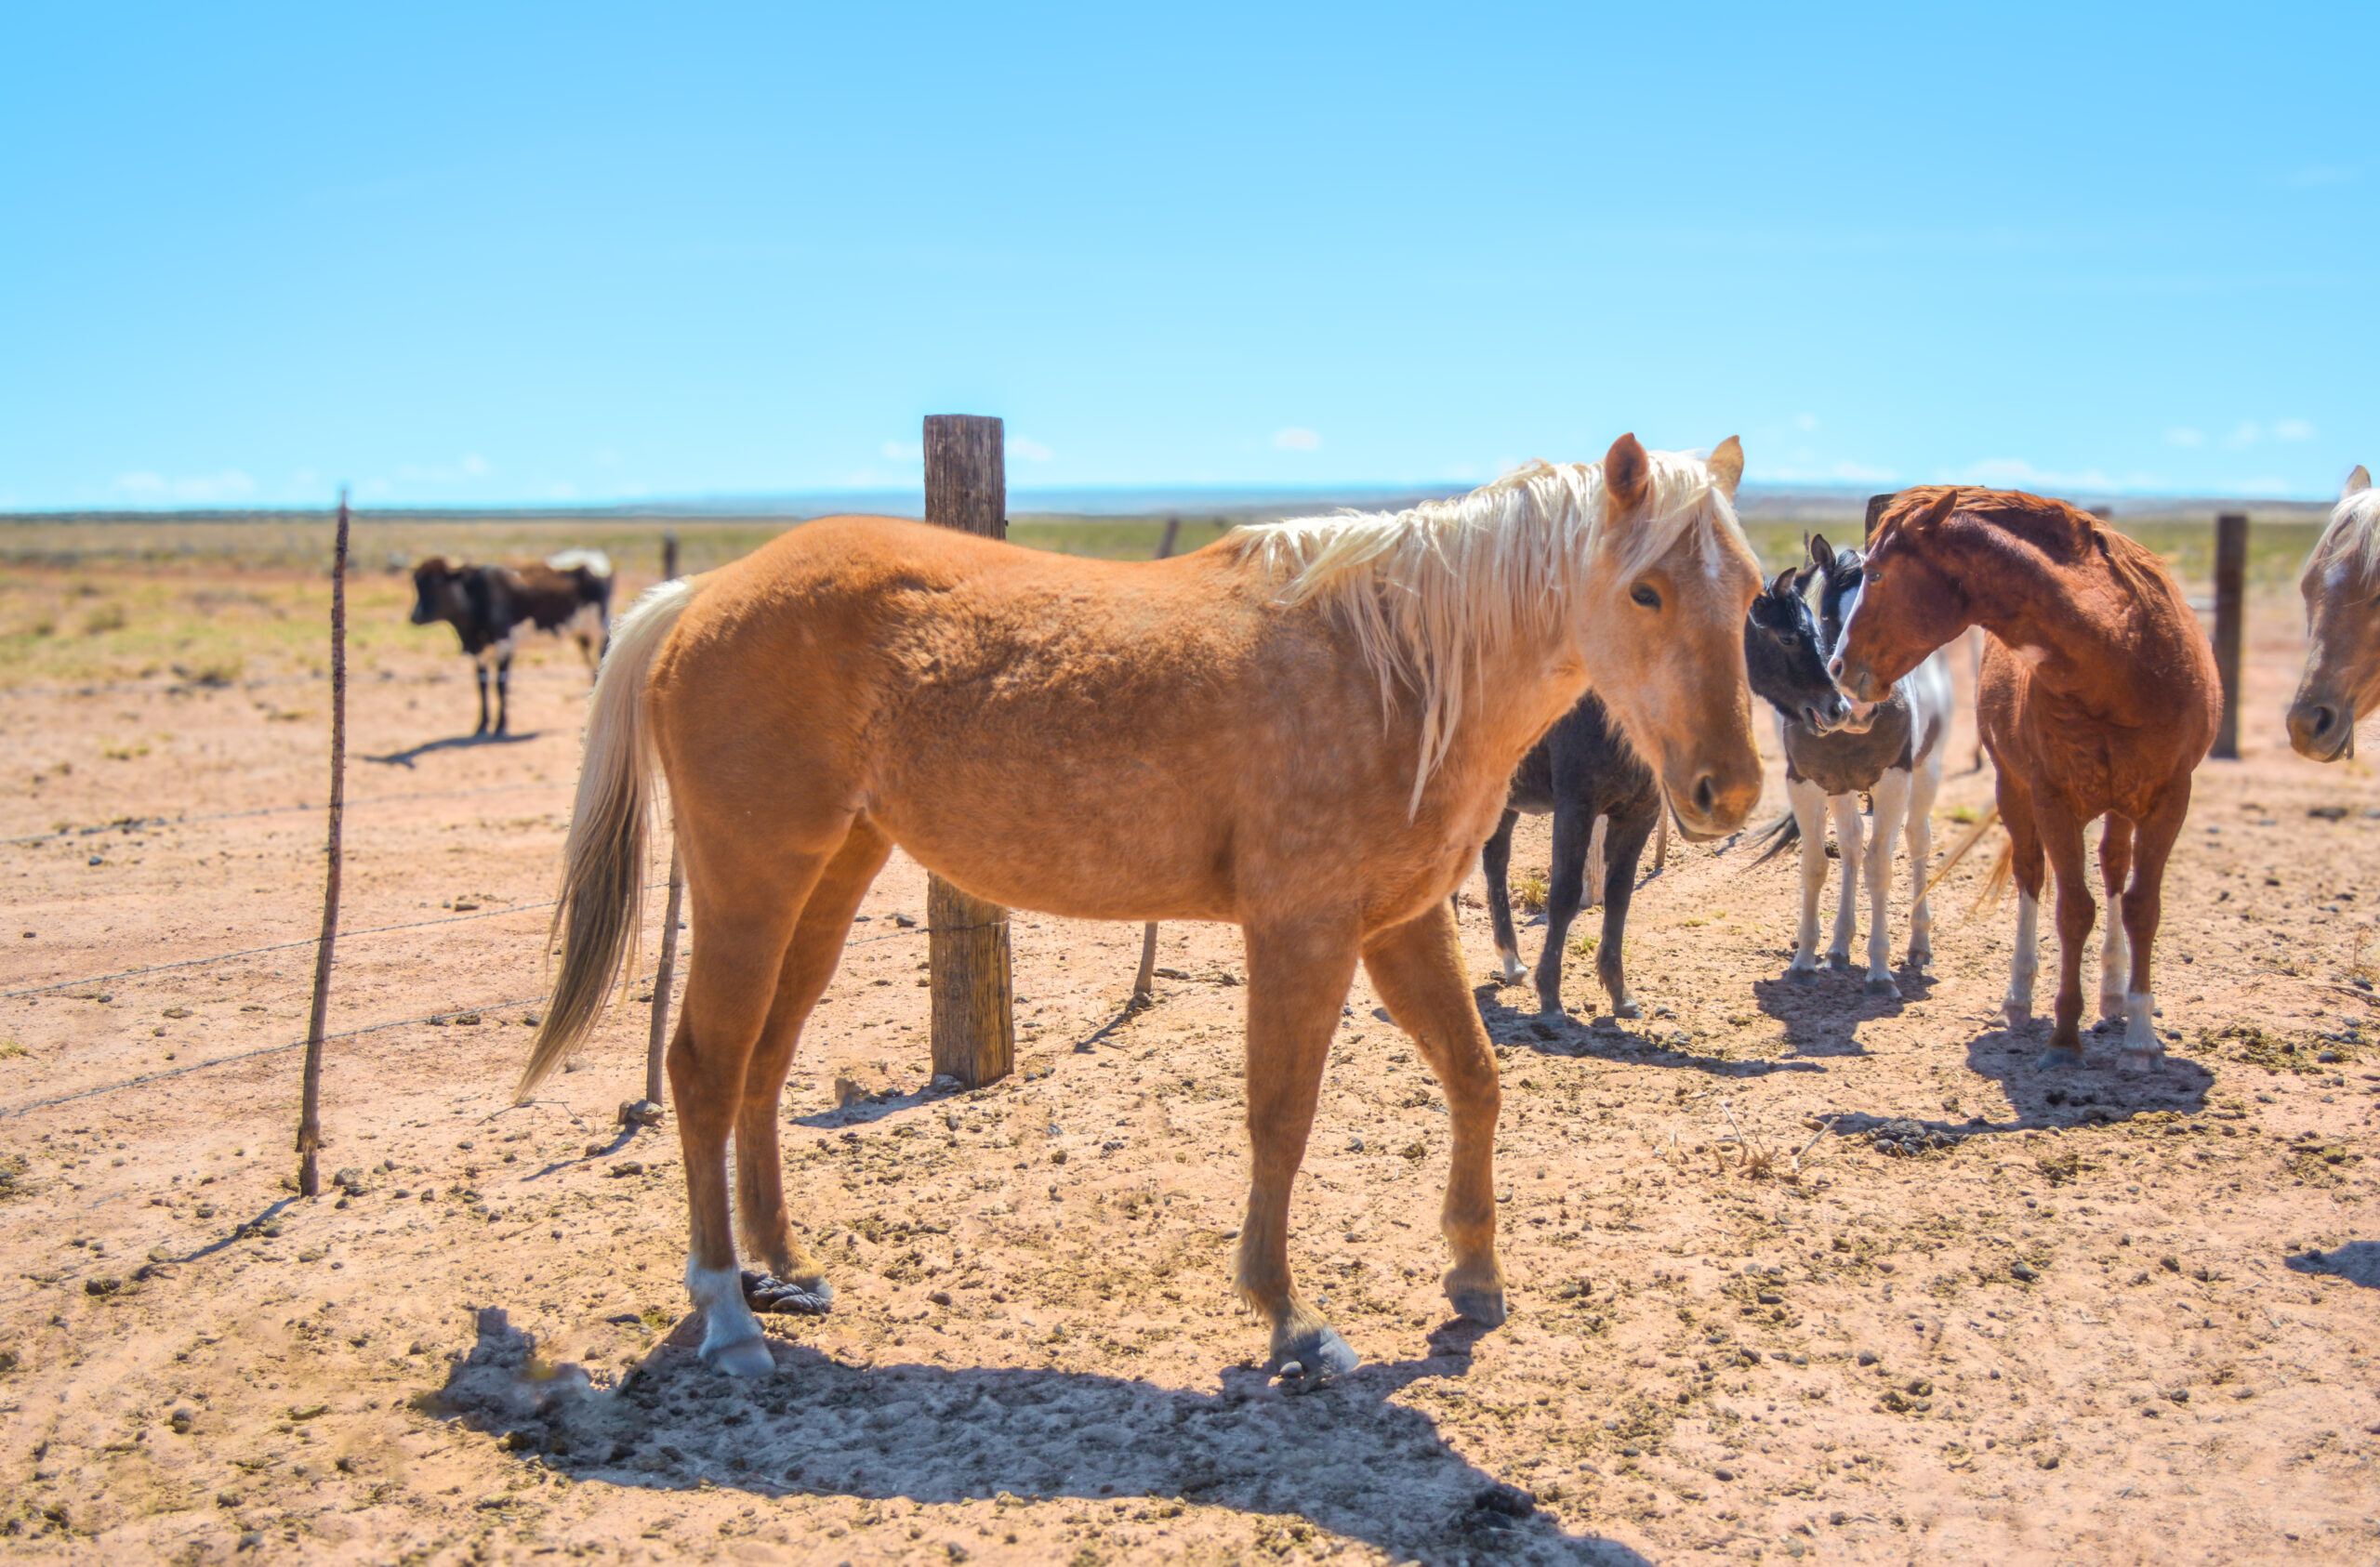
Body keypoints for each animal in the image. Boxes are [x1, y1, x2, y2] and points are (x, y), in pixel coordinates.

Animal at [1474, 690, 1661, 1019]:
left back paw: (1512, 963)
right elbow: (1564, 895)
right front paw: (1550, 996)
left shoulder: (1641, 812)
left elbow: (1619, 897)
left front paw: (1620, 994)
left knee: (1494, 861)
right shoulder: (1575, 805)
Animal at [1745, 536, 1953, 997]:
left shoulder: (1894, 782)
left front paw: (1880, 971)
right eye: (1826, 616)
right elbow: (1816, 864)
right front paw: (1805, 960)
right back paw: (1839, 948)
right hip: (1841, 790)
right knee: (1853, 845)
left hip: (1927, 772)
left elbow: (1880, 867)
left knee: (1917, 841)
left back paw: (1919, 944)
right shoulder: (1805, 783)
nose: (1853, 707)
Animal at [1832, 487, 2218, 1070]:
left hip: (2120, 805)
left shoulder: (2169, 800)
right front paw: (2064, 1035)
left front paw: (2142, 1037)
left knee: (2113, 869)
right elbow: (2073, 909)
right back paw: (2019, 998)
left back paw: (2113, 994)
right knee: (2032, 875)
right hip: (2015, 792)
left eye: (1875, 574)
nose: (1836, 667)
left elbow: (2141, 908)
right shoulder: (2052, 798)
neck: (2122, 660)